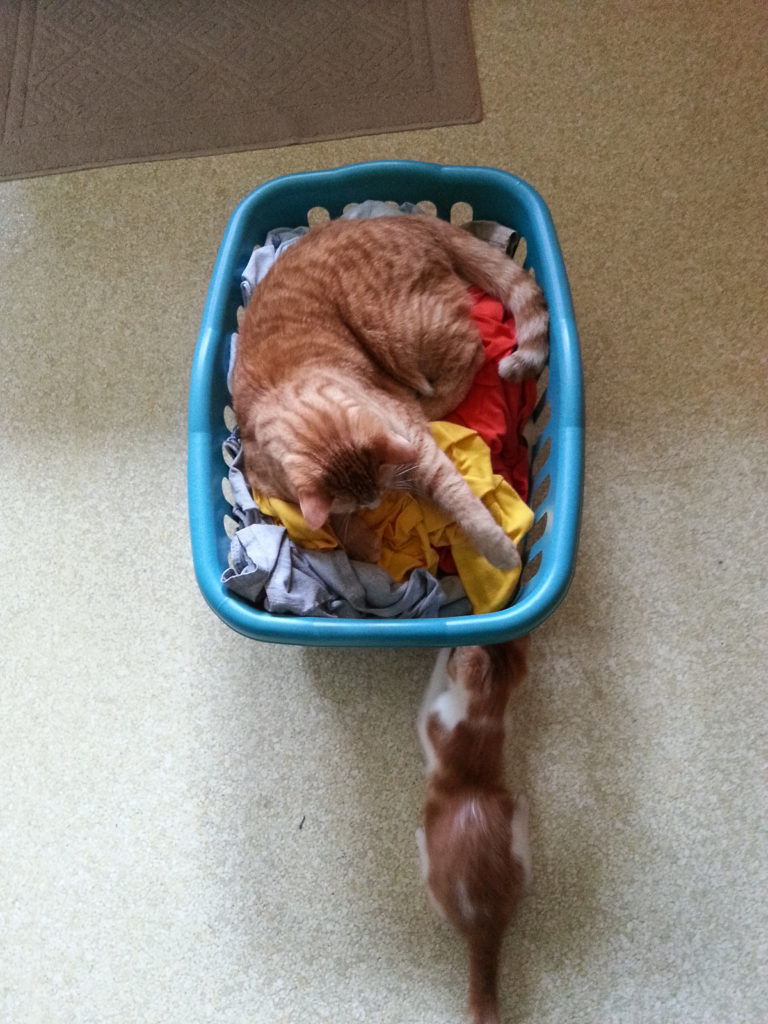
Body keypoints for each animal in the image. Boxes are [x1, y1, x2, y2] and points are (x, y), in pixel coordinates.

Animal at [231, 212, 548, 573]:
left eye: (378, 485)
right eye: (357, 502)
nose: (375, 503)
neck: (281, 388)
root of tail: (405, 217)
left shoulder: (415, 443)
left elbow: (455, 494)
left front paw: (498, 548)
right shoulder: (273, 486)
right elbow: (323, 522)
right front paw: (358, 540)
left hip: (398, 332)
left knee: (474, 352)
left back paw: (432, 404)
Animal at [417, 638, 532, 1024]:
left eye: (457, 655)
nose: (454, 647)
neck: (485, 712)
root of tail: (485, 924)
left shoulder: (431, 716)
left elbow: (432, 687)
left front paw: (438, 652)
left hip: (435, 883)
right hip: (517, 847)